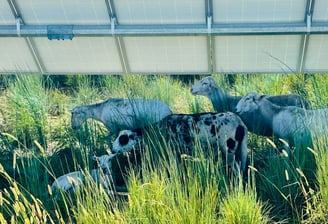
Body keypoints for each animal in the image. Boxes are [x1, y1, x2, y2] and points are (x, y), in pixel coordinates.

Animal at [111, 113, 247, 174]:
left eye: (123, 139)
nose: (112, 150)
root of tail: (240, 124)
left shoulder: (173, 152)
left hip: (229, 148)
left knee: (236, 167)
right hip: (240, 149)